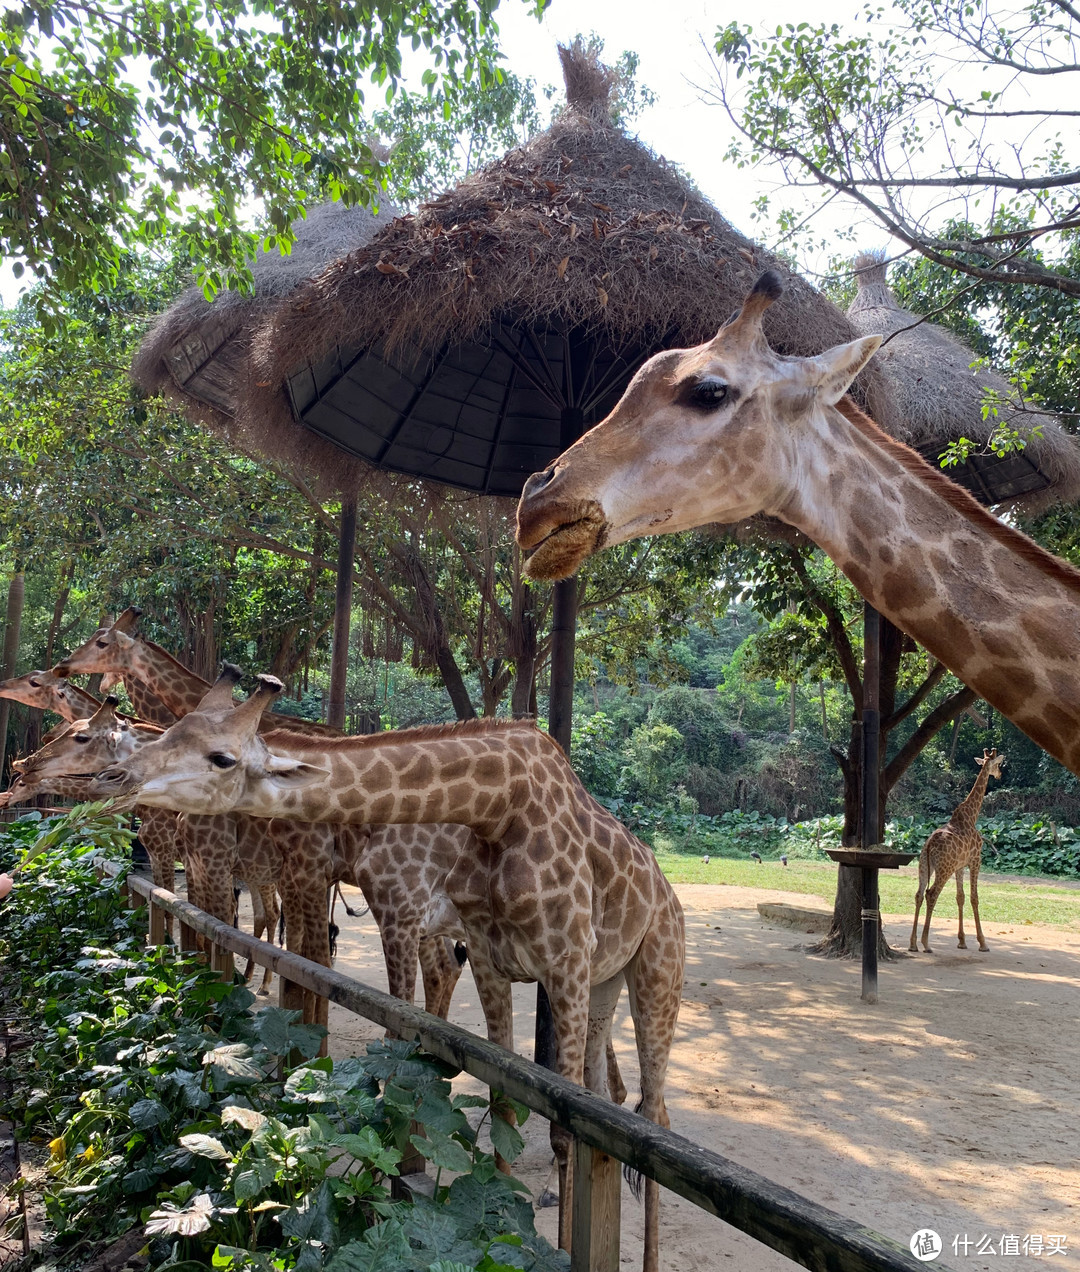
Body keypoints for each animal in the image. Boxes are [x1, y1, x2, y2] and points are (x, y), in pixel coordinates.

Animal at [910, 742, 1002, 956]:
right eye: (997, 764)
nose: (1000, 775)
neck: (971, 815)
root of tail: (928, 845)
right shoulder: (976, 860)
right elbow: (975, 898)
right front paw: (983, 943)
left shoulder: (960, 866)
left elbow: (960, 897)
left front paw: (962, 941)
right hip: (944, 869)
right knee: (931, 893)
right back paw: (926, 944)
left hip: (924, 866)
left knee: (919, 894)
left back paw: (913, 944)